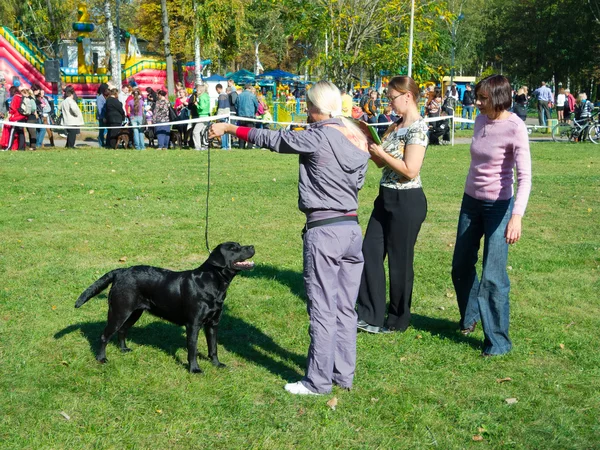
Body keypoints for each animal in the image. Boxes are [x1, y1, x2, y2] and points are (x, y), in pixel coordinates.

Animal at [74, 243, 254, 372]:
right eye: (234, 248)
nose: (252, 246)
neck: (212, 282)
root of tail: (121, 271)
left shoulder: (213, 324)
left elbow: (213, 347)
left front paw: (217, 364)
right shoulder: (193, 325)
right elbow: (192, 349)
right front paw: (194, 369)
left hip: (134, 313)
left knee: (123, 330)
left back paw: (124, 349)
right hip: (119, 311)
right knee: (105, 335)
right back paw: (101, 358)